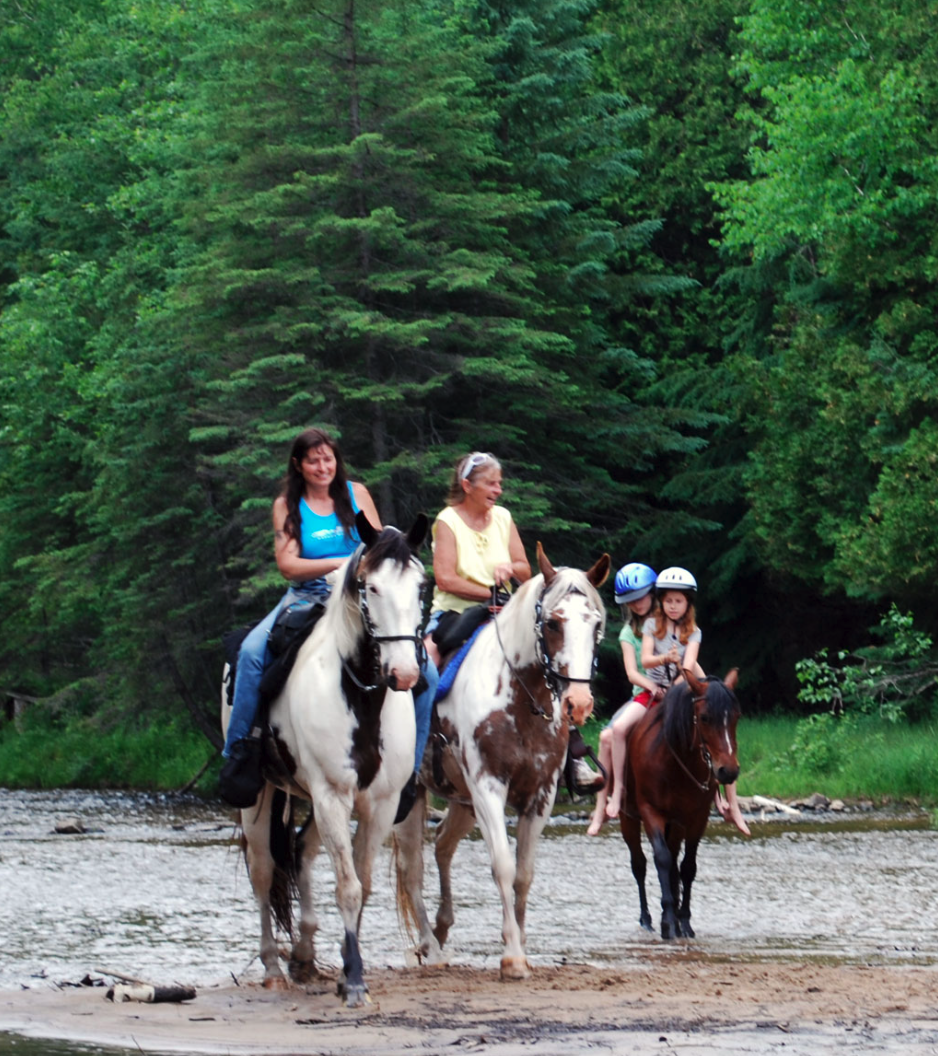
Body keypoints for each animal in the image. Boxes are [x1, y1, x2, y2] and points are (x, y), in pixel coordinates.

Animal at [219, 515, 424, 1009]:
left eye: (421, 586)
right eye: (371, 587)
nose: (404, 673)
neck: (362, 699)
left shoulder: (380, 805)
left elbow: (362, 885)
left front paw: (347, 970)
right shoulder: (332, 796)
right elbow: (347, 887)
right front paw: (354, 982)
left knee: (301, 851)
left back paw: (304, 956)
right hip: (262, 797)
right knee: (263, 870)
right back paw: (274, 968)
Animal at [392, 544, 608, 979]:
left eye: (594, 624)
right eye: (553, 623)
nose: (578, 704)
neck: (520, 698)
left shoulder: (540, 797)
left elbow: (524, 875)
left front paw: (520, 944)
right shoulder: (489, 788)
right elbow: (503, 867)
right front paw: (512, 958)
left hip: (462, 802)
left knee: (442, 847)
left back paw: (441, 928)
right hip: (415, 796)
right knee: (412, 870)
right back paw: (430, 947)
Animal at [621, 667, 743, 941]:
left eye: (736, 717)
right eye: (705, 717)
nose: (728, 770)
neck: (673, 760)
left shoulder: (697, 817)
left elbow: (687, 867)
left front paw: (683, 921)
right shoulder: (650, 812)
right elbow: (662, 860)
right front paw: (667, 921)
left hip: (676, 824)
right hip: (628, 818)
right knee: (639, 864)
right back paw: (647, 919)